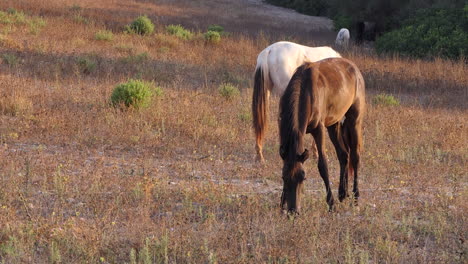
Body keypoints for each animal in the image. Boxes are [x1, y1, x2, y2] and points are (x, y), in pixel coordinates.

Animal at [278, 57, 366, 212]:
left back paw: (355, 198)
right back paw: (343, 194)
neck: (305, 91)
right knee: (343, 154)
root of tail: (354, 68)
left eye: (303, 177)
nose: (293, 211)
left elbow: (323, 165)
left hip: (354, 121)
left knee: (355, 157)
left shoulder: (318, 129)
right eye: (284, 178)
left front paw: (331, 203)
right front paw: (282, 204)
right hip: (333, 125)